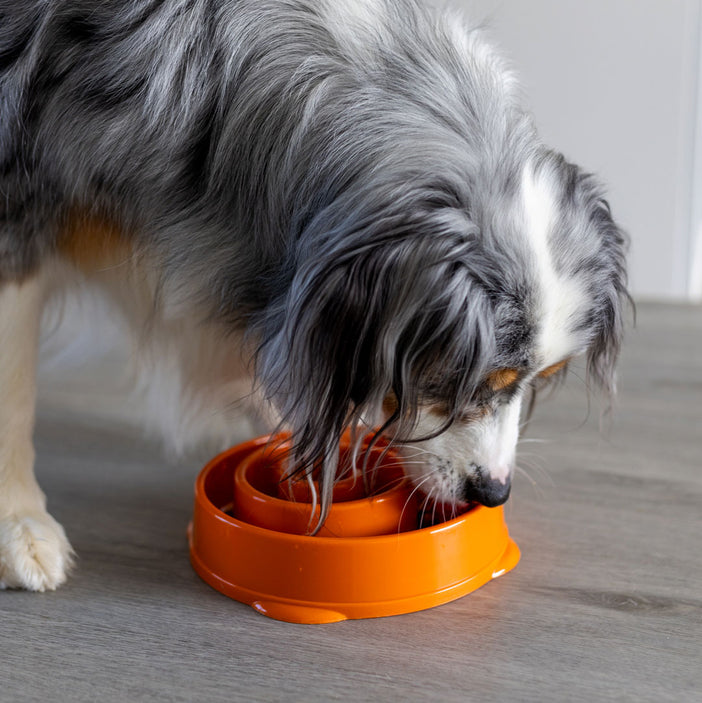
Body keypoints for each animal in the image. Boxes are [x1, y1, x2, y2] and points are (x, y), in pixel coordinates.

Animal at [0, 1, 628, 592]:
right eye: (455, 379)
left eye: (543, 379)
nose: (493, 494)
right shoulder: (18, 208)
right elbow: (14, 392)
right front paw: (20, 529)